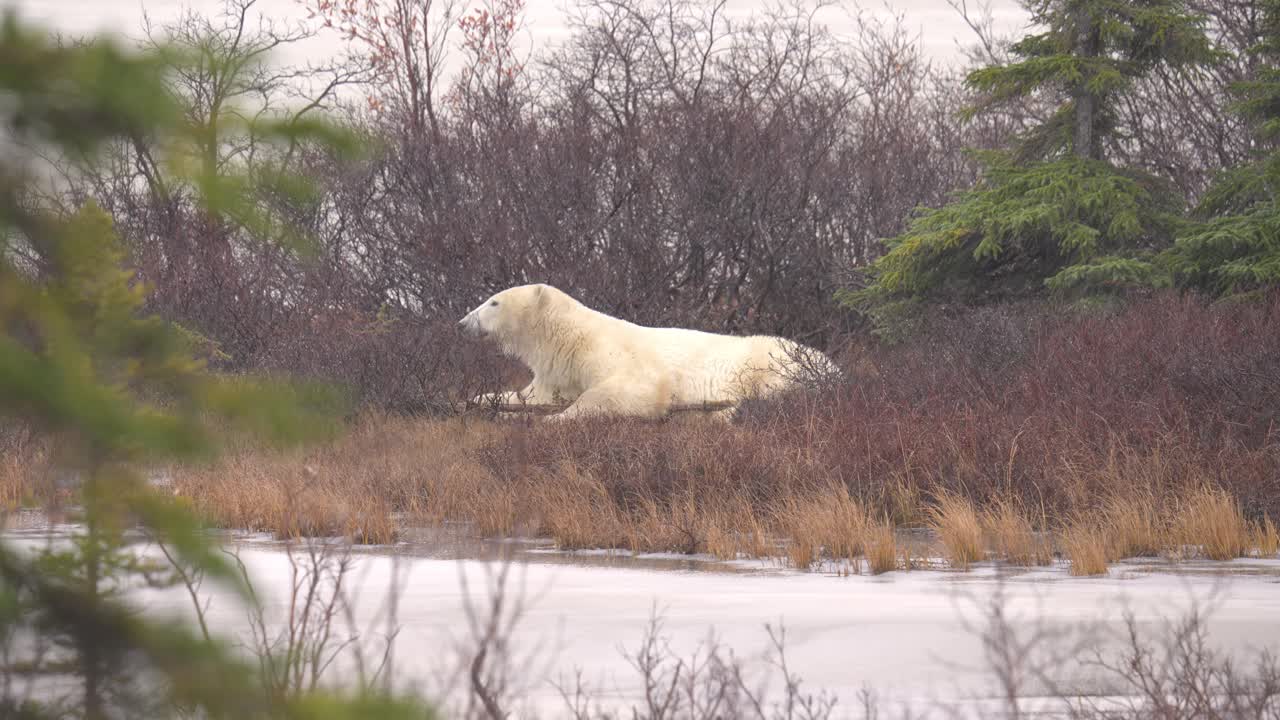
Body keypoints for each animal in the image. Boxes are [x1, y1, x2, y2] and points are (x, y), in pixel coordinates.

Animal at [458, 283, 838, 420]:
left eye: (493, 302)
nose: (462, 322)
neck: (570, 338)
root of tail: (833, 367)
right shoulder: (559, 369)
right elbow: (529, 395)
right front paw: (475, 401)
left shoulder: (607, 352)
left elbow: (635, 388)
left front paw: (557, 418)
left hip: (771, 365)